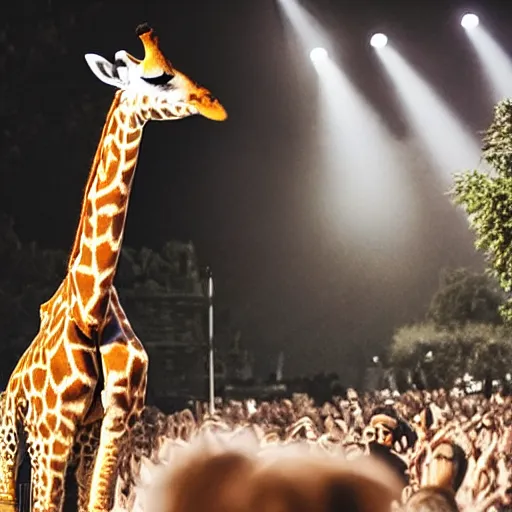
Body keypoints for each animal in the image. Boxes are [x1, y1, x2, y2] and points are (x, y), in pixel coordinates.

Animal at [0, 24, 228, 512]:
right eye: (157, 76)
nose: (212, 103)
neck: (91, 307)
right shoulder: (53, 431)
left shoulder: (118, 418)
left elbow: (98, 502)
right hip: (15, 429)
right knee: (13, 492)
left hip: (73, 440)